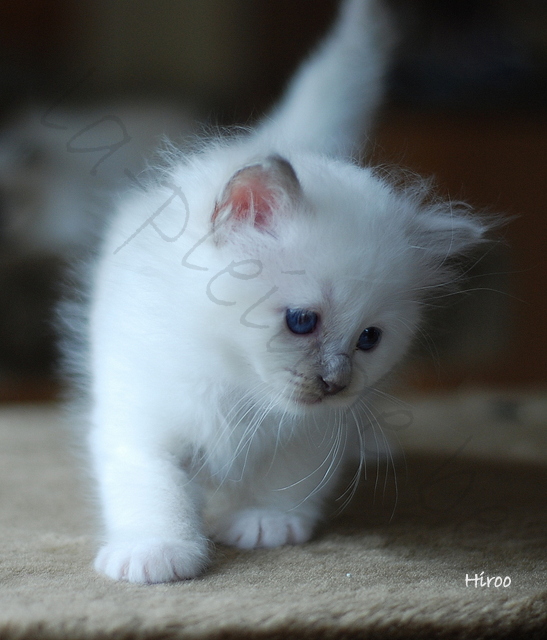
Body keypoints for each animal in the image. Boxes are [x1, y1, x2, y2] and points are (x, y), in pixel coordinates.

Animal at [69, 0, 492, 584]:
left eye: (369, 339)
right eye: (301, 321)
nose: (335, 383)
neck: (239, 385)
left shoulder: (313, 431)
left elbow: (292, 476)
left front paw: (266, 523)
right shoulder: (140, 418)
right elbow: (154, 489)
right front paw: (156, 552)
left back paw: (372, 447)